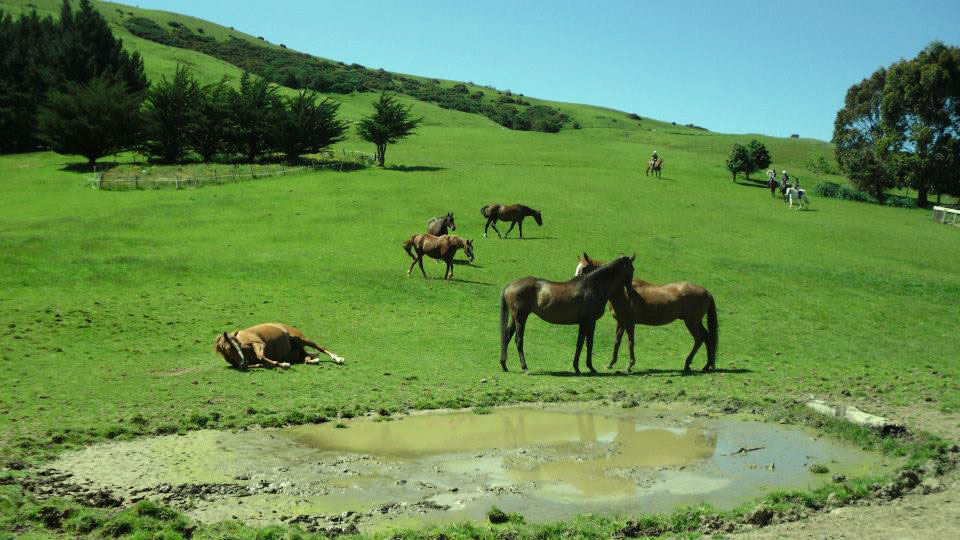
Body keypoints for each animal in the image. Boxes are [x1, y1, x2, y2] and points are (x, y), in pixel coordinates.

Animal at [214, 322, 344, 370]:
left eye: (239, 344)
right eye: (230, 347)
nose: (243, 362)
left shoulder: (259, 344)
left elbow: (261, 356)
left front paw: (282, 364)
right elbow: (259, 363)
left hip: (302, 339)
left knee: (322, 348)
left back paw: (337, 358)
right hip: (296, 353)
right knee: (306, 358)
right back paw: (313, 360)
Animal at [498, 255, 632, 374]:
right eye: (632, 268)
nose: (629, 290)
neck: (591, 287)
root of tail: (511, 285)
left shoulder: (589, 323)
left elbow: (586, 343)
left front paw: (587, 367)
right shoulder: (586, 322)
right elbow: (582, 344)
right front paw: (580, 368)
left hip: (515, 318)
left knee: (507, 336)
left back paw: (504, 365)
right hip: (521, 318)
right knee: (518, 340)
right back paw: (525, 367)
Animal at [572, 252, 716, 372]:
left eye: (584, 268)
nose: (574, 284)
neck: (623, 292)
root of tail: (706, 292)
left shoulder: (630, 323)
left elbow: (630, 342)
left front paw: (630, 365)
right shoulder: (621, 322)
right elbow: (617, 341)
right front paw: (611, 363)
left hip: (691, 322)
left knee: (699, 339)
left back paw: (688, 363)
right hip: (695, 322)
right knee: (707, 337)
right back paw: (707, 365)